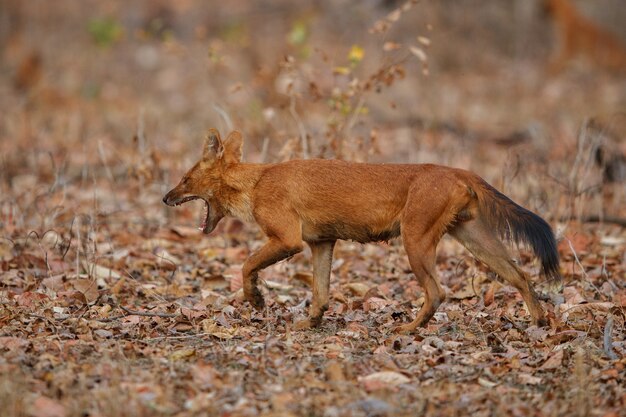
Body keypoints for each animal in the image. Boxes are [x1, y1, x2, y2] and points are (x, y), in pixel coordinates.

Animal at [162, 129, 560, 332]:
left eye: (184, 179)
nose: (165, 197)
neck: (256, 183)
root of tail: (460, 170)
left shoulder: (287, 239)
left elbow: (246, 265)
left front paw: (257, 300)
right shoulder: (322, 243)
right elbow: (321, 292)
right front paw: (311, 323)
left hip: (415, 241)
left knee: (438, 292)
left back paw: (407, 330)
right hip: (474, 240)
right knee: (521, 275)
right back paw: (541, 321)